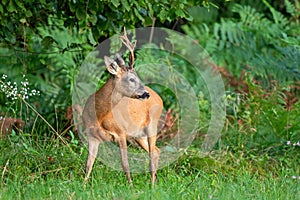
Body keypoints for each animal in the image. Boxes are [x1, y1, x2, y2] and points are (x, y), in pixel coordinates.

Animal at [82, 30, 164, 188]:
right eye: (131, 79)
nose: (146, 94)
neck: (99, 116)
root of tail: (159, 98)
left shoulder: (121, 133)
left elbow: (125, 163)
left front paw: (131, 186)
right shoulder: (92, 135)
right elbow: (88, 164)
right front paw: (82, 186)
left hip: (152, 125)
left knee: (153, 152)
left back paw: (152, 186)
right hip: (138, 135)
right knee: (156, 151)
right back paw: (154, 183)